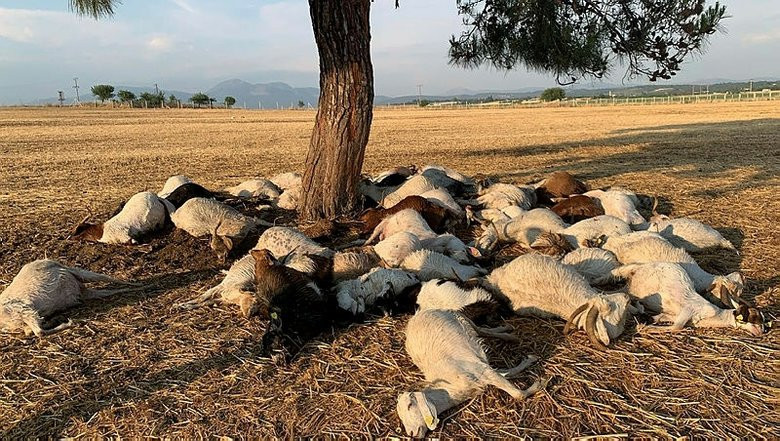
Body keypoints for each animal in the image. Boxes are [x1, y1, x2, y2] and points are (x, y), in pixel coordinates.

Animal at [0, 260, 139, 336]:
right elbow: (106, 278)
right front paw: (137, 286)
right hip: (23, 310)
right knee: (39, 332)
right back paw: (68, 322)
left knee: (33, 330)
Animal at [400, 308, 540, 438]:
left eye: (410, 405)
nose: (411, 433)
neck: (451, 387)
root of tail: (418, 314)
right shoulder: (484, 371)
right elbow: (508, 372)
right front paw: (529, 361)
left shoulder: (482, 371)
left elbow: (518, 395)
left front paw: (539, 384)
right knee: (482, 330)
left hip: (460, 317)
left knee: (481, 329)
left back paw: (510, 334)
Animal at [596, 262, 768, 336]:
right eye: (754, 318)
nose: (762, 332)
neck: (715, 315)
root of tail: (640, 268)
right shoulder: (689, 310)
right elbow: (676, 328)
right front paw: (643, 327)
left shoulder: (673, 315)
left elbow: (661, 318)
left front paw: (646, 320)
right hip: (635, 284)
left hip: (631, 287)